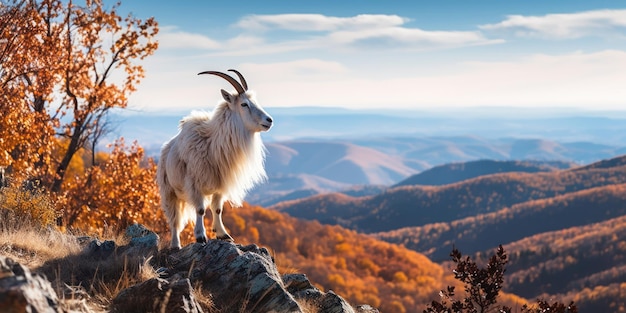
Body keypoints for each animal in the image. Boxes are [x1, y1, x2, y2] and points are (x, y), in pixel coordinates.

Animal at [155, 69, 272, 247]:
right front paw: (200, 236)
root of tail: (165, 149)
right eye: (244, 104)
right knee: (174, 220)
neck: (212, 143)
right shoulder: (195, 184)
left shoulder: (219, 187)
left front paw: (223, 234)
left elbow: (217, 209)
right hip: (169, 191)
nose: (269, 120)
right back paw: (175, 245)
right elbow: (201, 209)